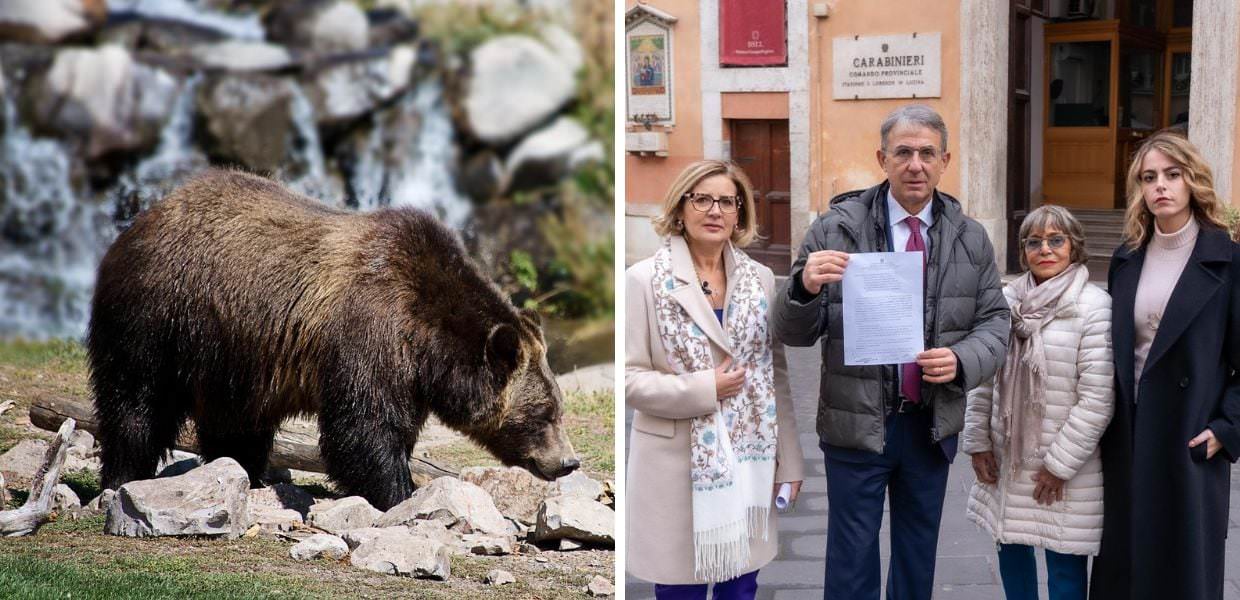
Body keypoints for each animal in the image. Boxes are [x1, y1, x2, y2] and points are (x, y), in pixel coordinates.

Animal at [88, 169, 580, 511]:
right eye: (544, 413)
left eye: (558, 408)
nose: (568, 462)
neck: (428, 341)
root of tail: (142, 219)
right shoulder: (371, 333)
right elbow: (363, 428)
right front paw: (399, 493)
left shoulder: (407, 374)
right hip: (161, 315)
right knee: (137, 401)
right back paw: (123, 476)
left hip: (232, 352)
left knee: (236, 421)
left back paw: (246, 472)